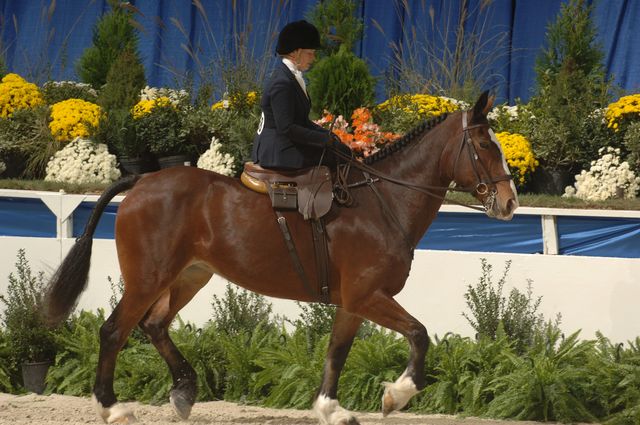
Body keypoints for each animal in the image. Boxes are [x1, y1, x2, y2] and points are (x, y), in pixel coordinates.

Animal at [45, 91, 516, 422]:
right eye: (484, 146)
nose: (510, 202)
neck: (384, 201)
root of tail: (142, 180)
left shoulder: (354, 301)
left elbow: (337, 351)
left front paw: (331, 409)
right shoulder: (368, 296)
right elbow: (419, 334)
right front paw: (395, 395)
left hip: (190, 275)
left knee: (154, 325)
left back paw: (184, 391)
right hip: (148, 277)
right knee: (114, 331)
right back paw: (113, 408)